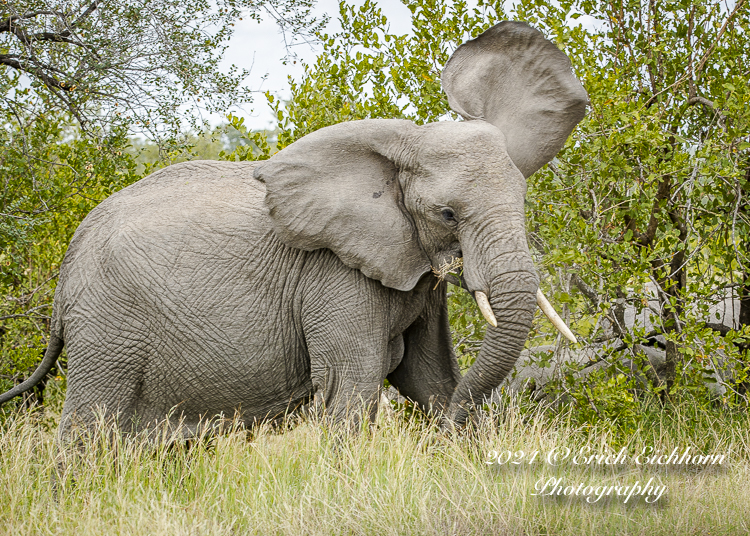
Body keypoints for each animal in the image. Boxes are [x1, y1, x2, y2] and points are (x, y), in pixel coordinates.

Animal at [0, 22, 588, 440]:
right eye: (447, 214)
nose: (447, 432)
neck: (406, 146)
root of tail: (65, 270)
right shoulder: (336, 272)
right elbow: (352, 386)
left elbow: (430, 376)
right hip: (107, 327)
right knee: (89, 427)